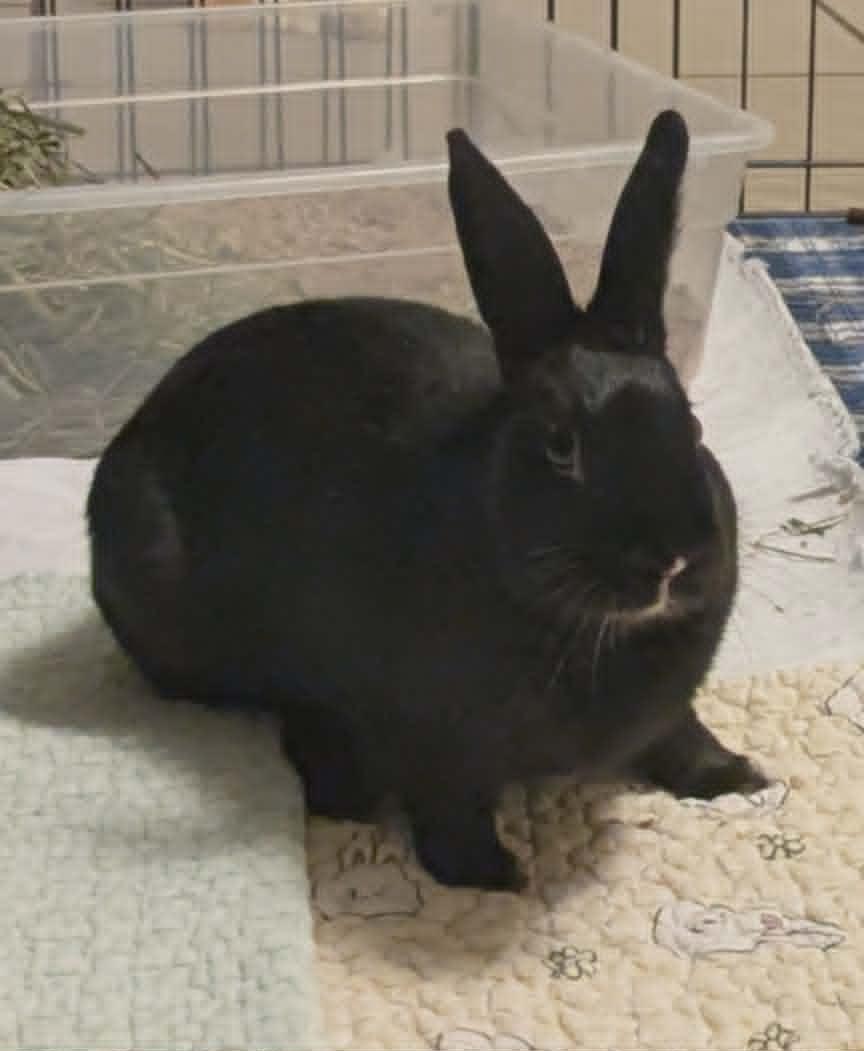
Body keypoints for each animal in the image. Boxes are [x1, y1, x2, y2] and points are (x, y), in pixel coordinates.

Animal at [87, 109, 767, 892]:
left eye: (692, 426)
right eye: (560, 446)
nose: (672, 560)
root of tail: (134, 430)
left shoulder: (670, 708)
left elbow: (682, 735)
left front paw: (739, 777)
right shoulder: (436, 747)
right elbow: (449, 811)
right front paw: (495, 877)